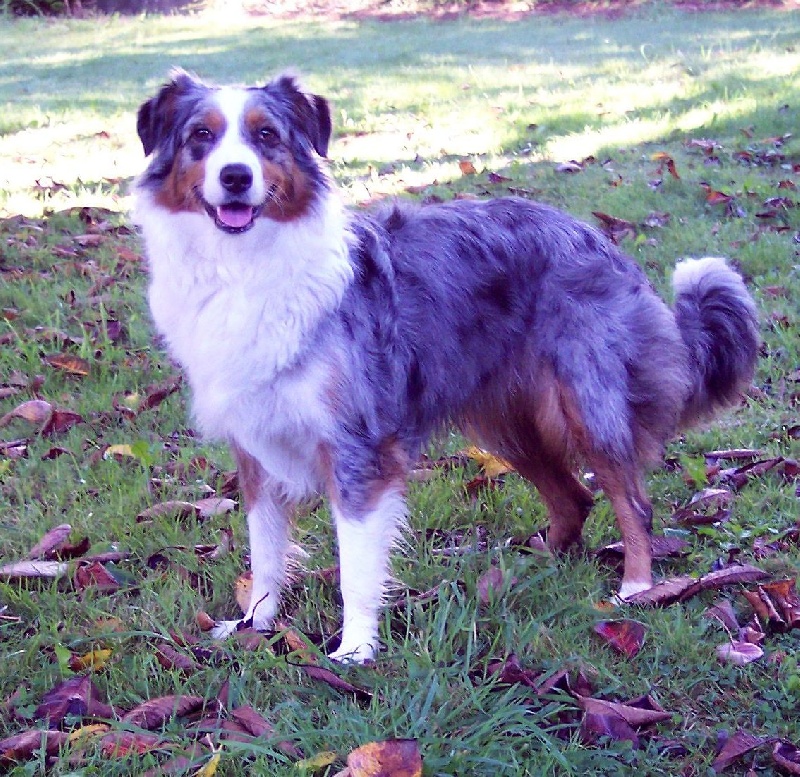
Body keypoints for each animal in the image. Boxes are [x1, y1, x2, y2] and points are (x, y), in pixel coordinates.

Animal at [134, 71, 760, 660]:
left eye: (266, 136)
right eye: (201, 136)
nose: (236, 177)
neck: (242, 266)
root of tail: (596, 237)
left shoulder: (358, 447)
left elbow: (355, 566)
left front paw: (355, 649)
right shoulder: (256, 445)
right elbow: (263, 550)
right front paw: (255, 625)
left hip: (586, 403)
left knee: (632, 502)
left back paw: (635, 588)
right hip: (508, 422)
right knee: (574, 497)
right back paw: (534, 566)